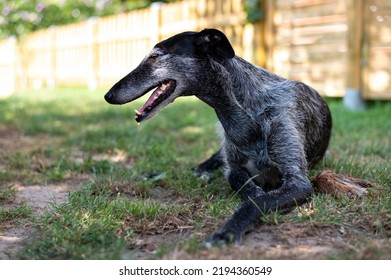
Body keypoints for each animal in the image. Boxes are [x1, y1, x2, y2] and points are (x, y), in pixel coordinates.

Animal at [105, 28, 374, 246]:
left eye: (155, 57)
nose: (108, 95)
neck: (244, 109)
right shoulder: (234, 165)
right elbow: (238, 180)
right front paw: (253, 191)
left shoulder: (297, 179)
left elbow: (258, 200)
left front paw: (228, 230)